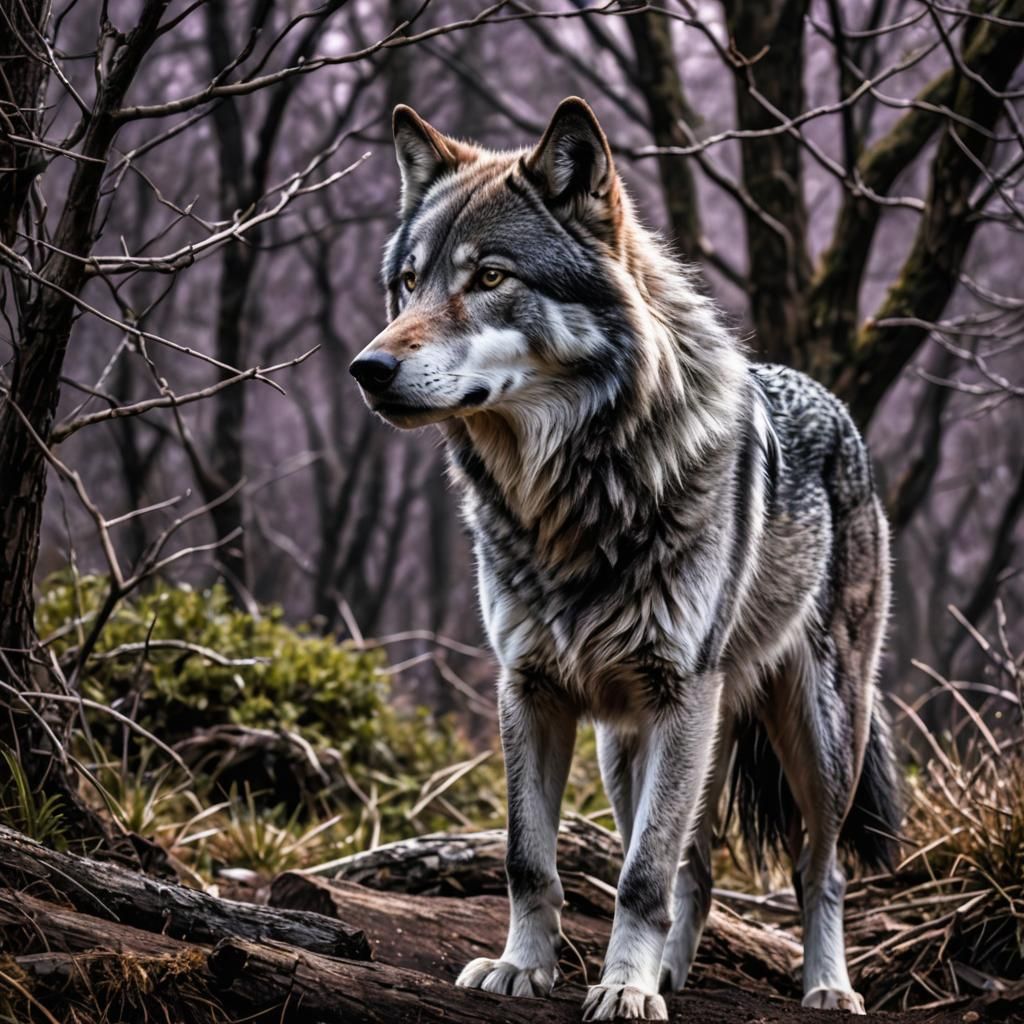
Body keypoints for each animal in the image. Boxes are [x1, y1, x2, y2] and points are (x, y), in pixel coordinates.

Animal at [350, 97, 901, 1021]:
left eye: (490, 277)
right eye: (408, 282)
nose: (368, 368)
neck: (569, 502)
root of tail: (834, 404)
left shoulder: (681, 695)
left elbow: (639, 876)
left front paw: (624, 990)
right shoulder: (529, 688)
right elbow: (529, 858)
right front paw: (524, 968)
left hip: (817, 735)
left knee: (815, 872)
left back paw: (826, 985)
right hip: (632, 746)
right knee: (696, 870)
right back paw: (674, 971)